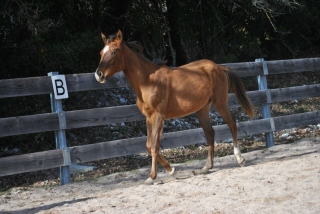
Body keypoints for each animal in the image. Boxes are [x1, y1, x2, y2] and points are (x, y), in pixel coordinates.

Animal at [94, 29, 254, 184]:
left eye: (114, 52)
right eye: (101, 53)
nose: (98, 75)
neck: (148, 81)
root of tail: (219, 67)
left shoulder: (158, 116)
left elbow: (154, 146)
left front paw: (152, 177)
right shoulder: (149, 117)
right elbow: (149, 145)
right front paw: (170, 170)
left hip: (220, 102)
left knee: (232, 123)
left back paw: (240, 159)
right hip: (202, 109)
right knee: (210, 133)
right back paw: (205, 168)